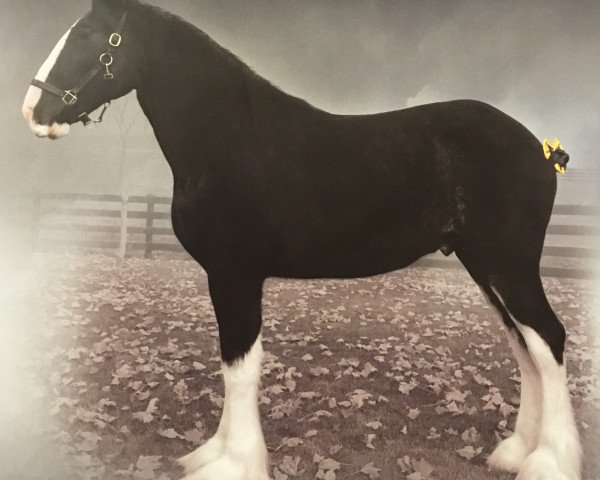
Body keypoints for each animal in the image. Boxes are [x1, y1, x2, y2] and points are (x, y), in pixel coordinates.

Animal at [23, 0, 580, 480]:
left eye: (89, 35)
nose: (32, 109)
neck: (228, 138)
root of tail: (540, 148)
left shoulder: (235, 274)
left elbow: (240, 366)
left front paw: (234, 464)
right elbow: (230, 363)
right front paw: (214, 455)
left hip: (508, 264)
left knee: (548, 339)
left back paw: (548, 463)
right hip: (485, 266)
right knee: (525, 346)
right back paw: (516, 453)